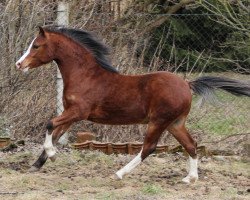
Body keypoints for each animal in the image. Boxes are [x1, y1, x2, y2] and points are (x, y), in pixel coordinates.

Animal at [15, 25, 250, 184]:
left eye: (36, 46)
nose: (19, 64)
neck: (86, 76)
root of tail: (186, 83)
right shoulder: (70, 113)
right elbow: (55, 132)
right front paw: (37, 165)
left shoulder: (78, 112)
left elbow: (50, 124)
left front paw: (52, 155)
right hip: (175, 123)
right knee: (191, 144)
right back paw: (189, 178)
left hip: (158, 121)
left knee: (149, 148)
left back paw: (119, 173)